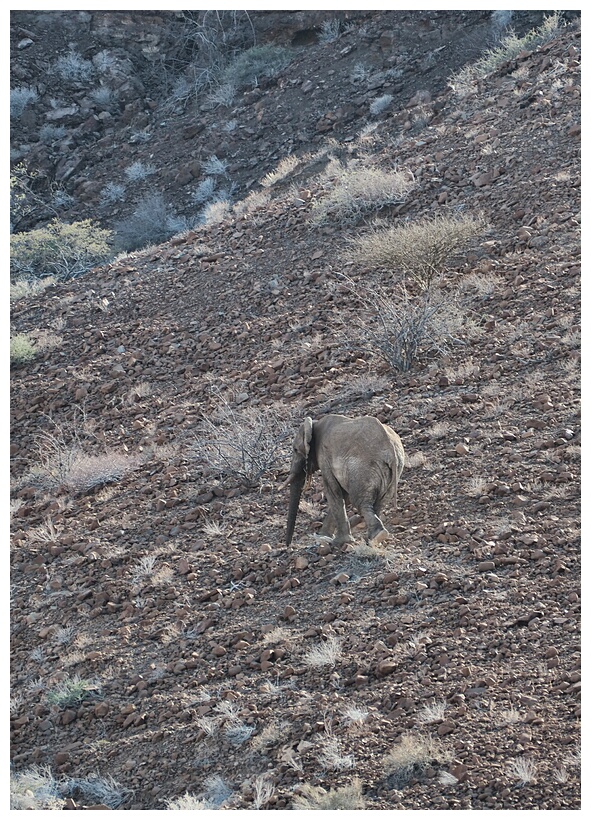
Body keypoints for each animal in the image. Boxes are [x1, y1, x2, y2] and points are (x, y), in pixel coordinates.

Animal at [280, 414, 402, 548]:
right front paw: (323, 537)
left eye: (295, 450)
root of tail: (390, 449)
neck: (314, 424)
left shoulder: (324, 456)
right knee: (379, 503)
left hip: (363, 469)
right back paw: (373, 539)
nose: (287, 545)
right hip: (392, 471)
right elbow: (344, 495)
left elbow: (333, 491)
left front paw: (337, 542)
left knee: (360, 502)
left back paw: (377, 536)